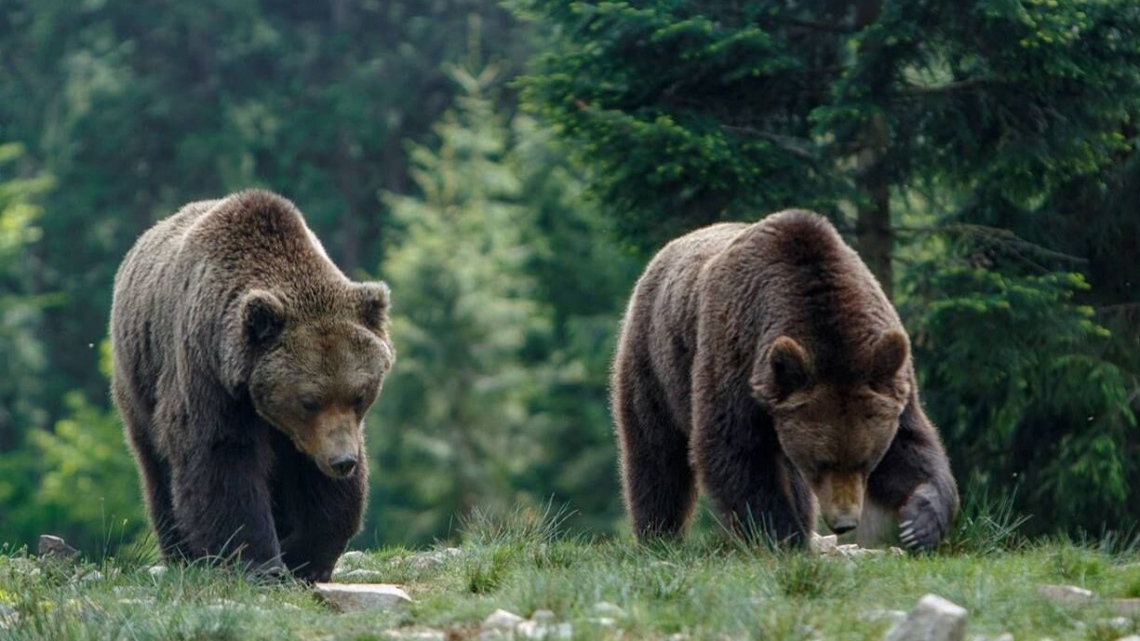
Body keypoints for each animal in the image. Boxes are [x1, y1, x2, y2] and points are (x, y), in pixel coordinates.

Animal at [110, 188, 396, 579]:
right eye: (309, 401)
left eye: (359, 395)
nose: (342, 461)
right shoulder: (209, 378)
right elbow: (223, 461)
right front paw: (259, 563)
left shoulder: (318, 435)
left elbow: (323, 491)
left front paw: (305, 555)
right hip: (139, 383)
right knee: (157, 467)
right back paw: (182, 553)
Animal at [611, 209, 957, 549]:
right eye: (820, 463)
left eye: (866, 460)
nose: (844, 522)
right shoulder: (736, 359)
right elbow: (734, 449)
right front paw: (782, 535)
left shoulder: (883, 371)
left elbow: (910, 443)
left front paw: (920, 522)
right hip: (656, 361)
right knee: (656, 452)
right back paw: (658, 534)